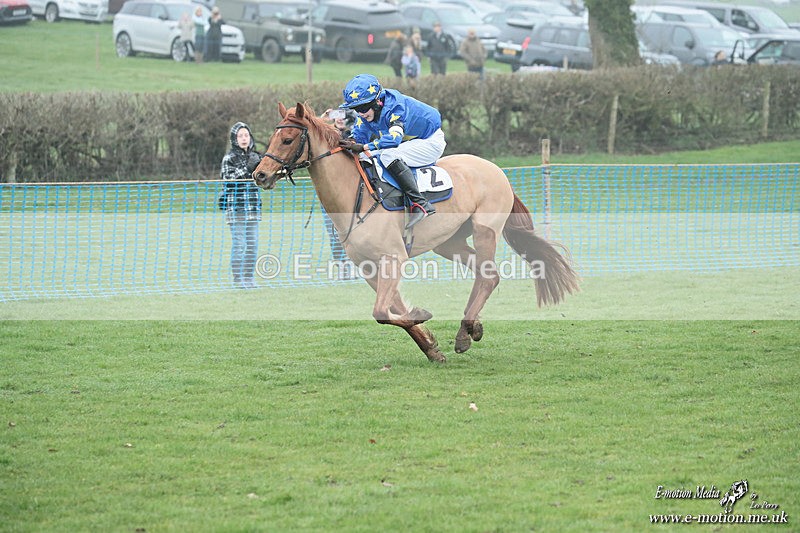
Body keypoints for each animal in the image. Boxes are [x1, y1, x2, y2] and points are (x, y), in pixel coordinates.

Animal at [252, 102, 580, 363]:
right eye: (273, 137)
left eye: (287, 139)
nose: (260, 174)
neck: (356, 196)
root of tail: (496, 170)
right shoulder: (369, 266)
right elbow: (392, 310)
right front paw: (430, 345)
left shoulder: (393, 258)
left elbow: (382, 312)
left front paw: (423, 320)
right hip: (449, 242)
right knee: (484, 274)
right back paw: (470, 327)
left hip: (485, 230)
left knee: (488, 276)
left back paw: (466, 332)